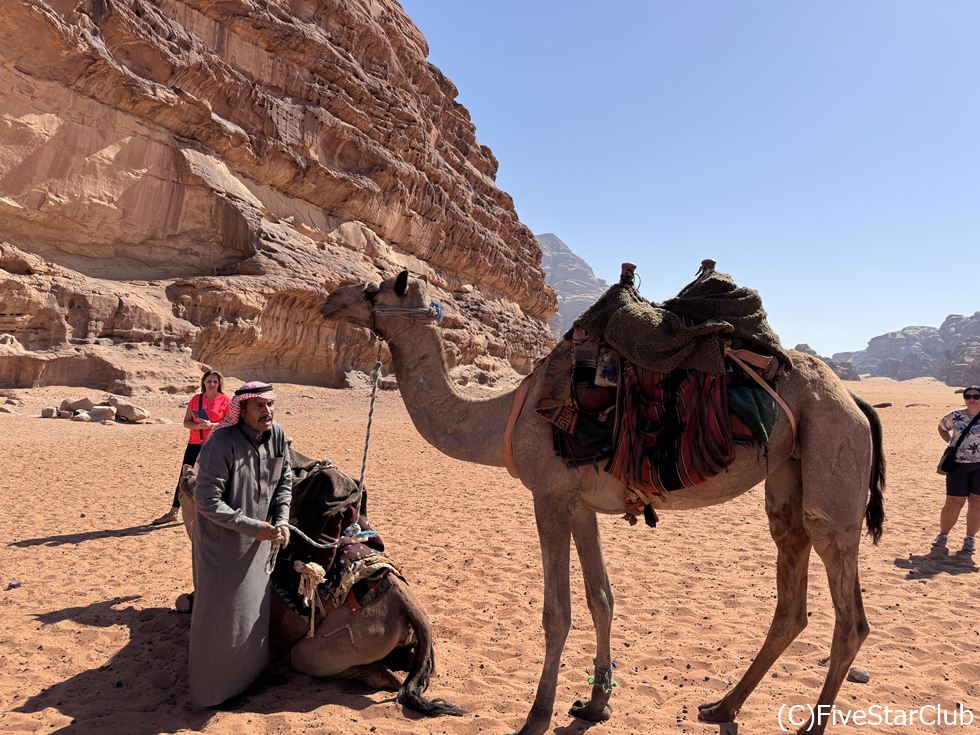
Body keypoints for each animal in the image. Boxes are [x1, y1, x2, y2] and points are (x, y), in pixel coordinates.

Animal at [324, 270, 888, 735]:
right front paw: (595, 705)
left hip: (834, 459)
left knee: (849, 614)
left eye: (376, 288)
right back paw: (721, 707)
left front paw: (537, 715)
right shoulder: (581, 504)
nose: (330, 299)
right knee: (791, 590)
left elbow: (557, 612)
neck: (507, 414)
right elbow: (602, 599)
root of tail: (856, 402)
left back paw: (808, 726)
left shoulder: (549, 496)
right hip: (789, 473)